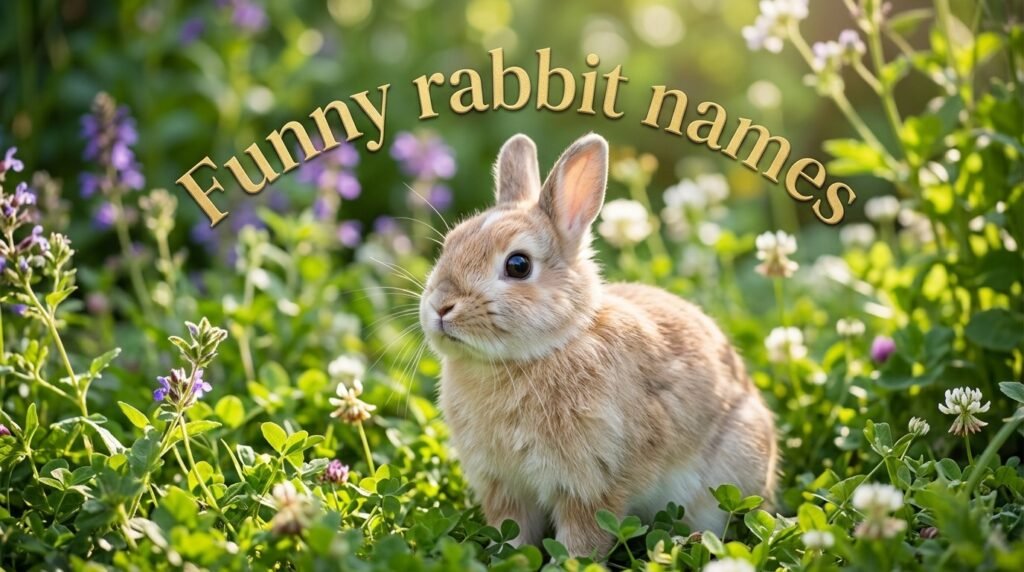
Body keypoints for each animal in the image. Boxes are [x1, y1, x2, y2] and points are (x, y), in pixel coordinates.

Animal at [418, 132, 778, 557]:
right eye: (449, 245)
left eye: (518, 265)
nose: (441, 305)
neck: (537, 354)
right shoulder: (504, 487)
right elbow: (513, 532)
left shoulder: (590, 484)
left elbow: (582, 538)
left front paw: (570, 562)